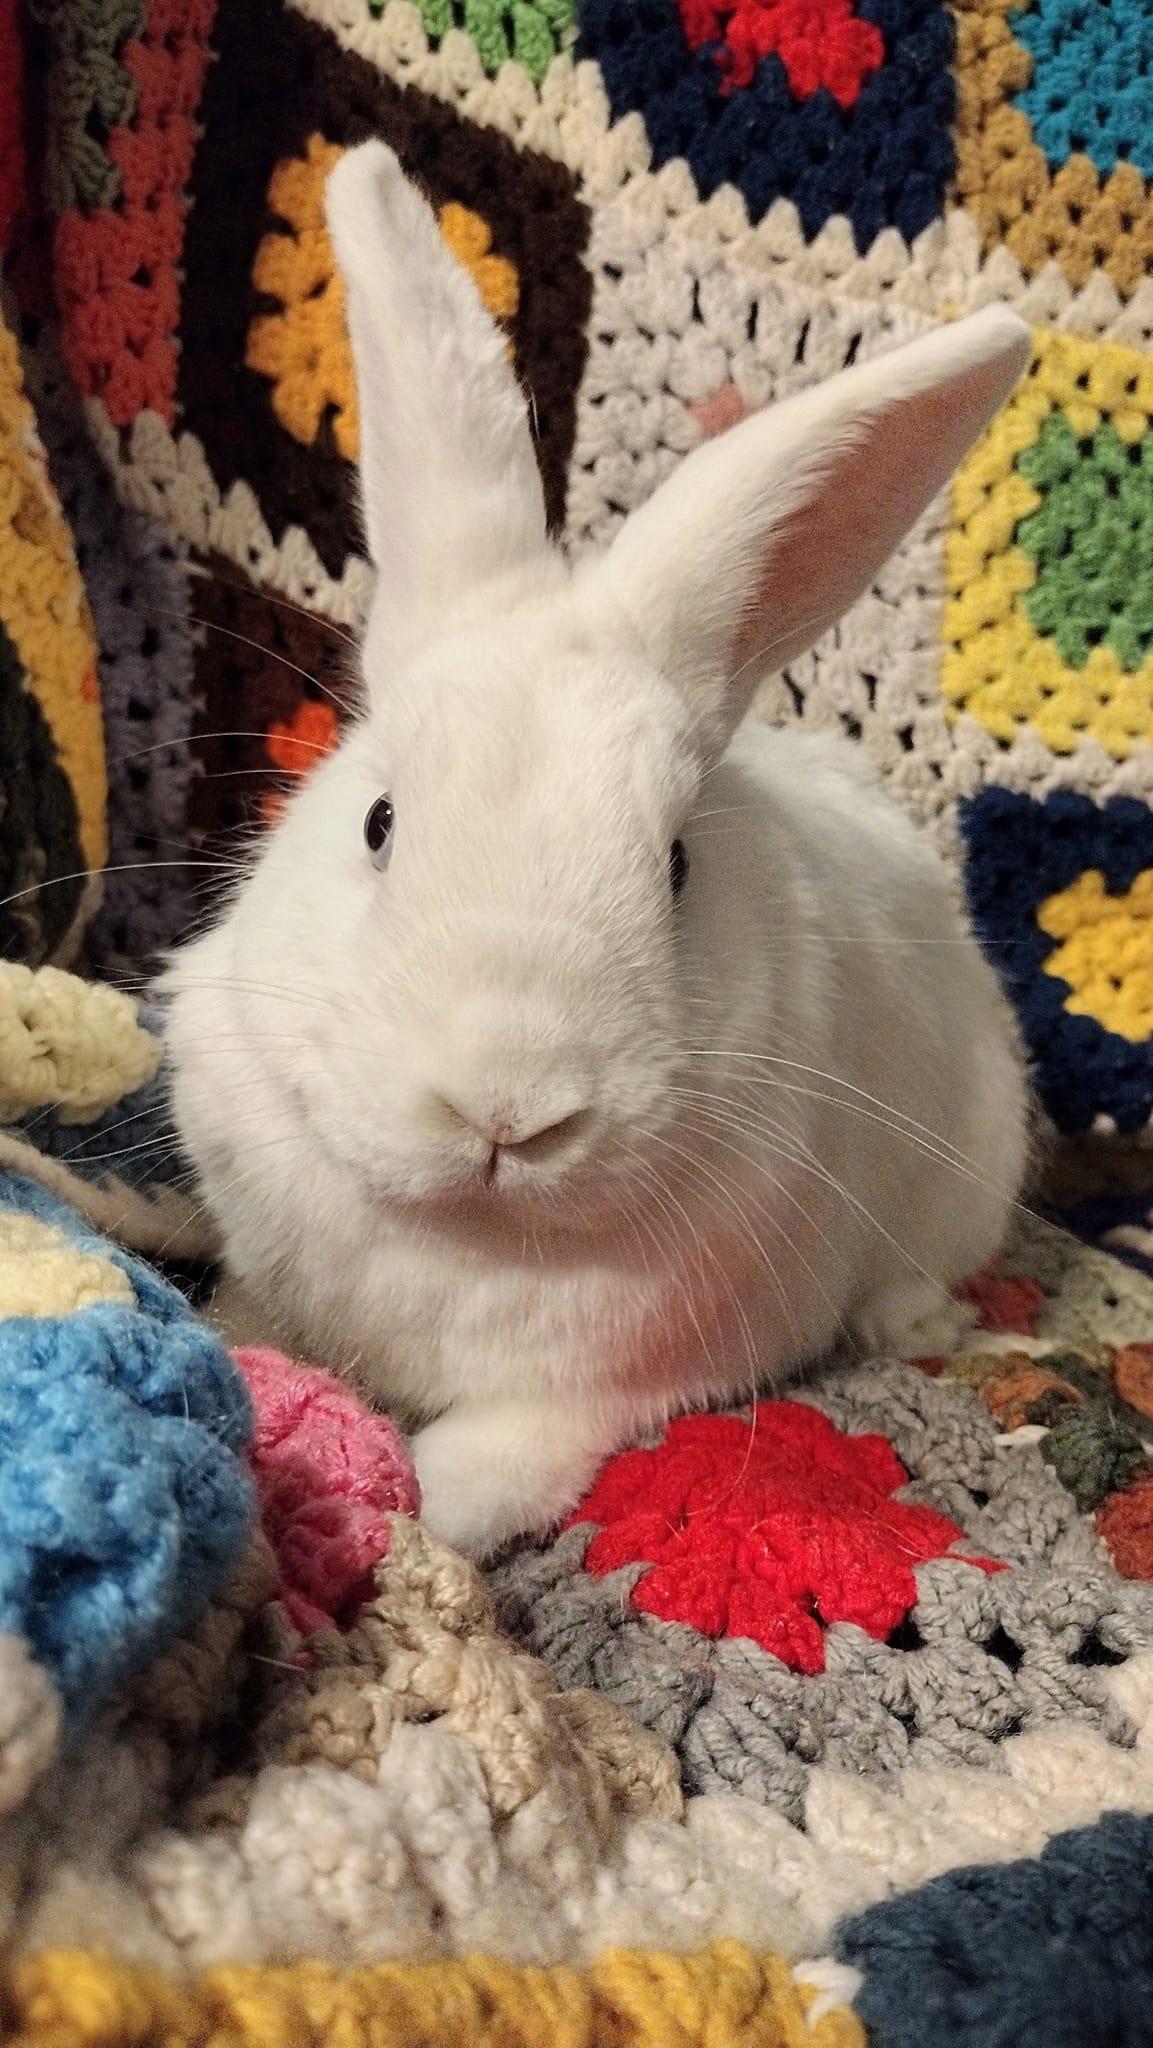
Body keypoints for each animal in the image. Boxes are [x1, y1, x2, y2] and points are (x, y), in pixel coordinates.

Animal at [162, 142, 1032, 1560]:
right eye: (379, 822)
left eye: (675, 864)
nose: (504, 1108)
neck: (471, 1232)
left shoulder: (614, 1385)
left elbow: (498, 1463)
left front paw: (419, 1508)